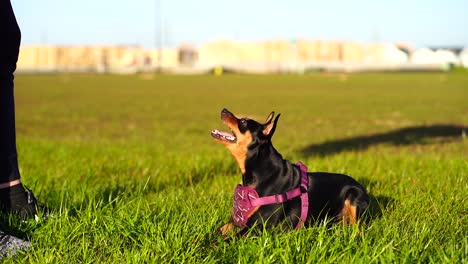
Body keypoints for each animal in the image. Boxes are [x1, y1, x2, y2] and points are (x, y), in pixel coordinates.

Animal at [212, 108, 370, 236]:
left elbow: (225, 240)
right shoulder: (236, 222)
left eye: (243, 121)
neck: (259, 171)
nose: (224, 110)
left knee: (358, 230)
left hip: (353, 198)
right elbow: (216, 232)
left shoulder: (256, 227)